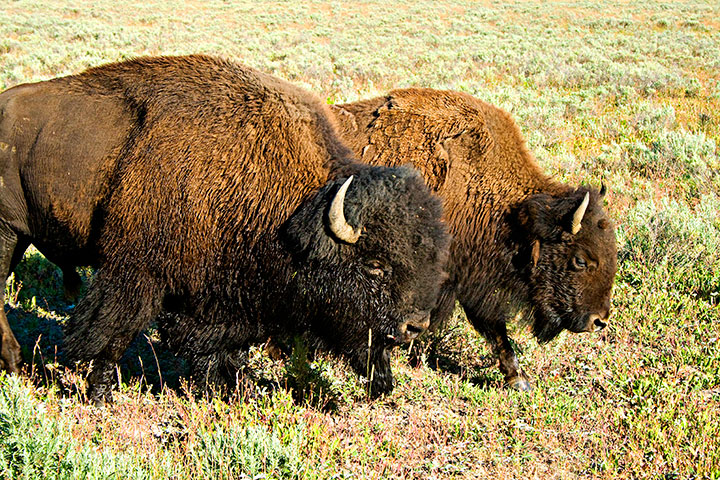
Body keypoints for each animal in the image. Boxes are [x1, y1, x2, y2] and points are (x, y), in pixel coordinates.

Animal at [0, 56, 450, 402]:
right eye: (375, 265)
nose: (414, 327)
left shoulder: (224, 297)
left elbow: (222, 348)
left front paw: (227, 388)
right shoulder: (136, 273)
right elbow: (110, 334)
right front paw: (100, 394)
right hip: (8, 232)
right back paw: (17, 364)